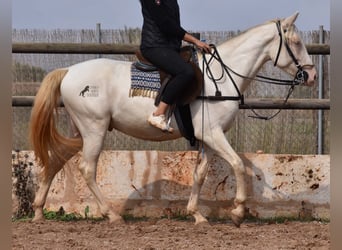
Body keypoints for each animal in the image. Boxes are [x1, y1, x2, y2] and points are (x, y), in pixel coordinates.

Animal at [30, 12, 316, 227]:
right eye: (296, 42)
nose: (311, 76)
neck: (220, 77)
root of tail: (68, 71)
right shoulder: (213, 134)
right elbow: (238, 164)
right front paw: (237, 212)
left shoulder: (207, 139)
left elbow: (200, 174)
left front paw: (197, 215)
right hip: (94, 130)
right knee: (87, 169)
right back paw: (111, 215)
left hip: (80, 133)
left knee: (55, 161)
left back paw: (38, 211)